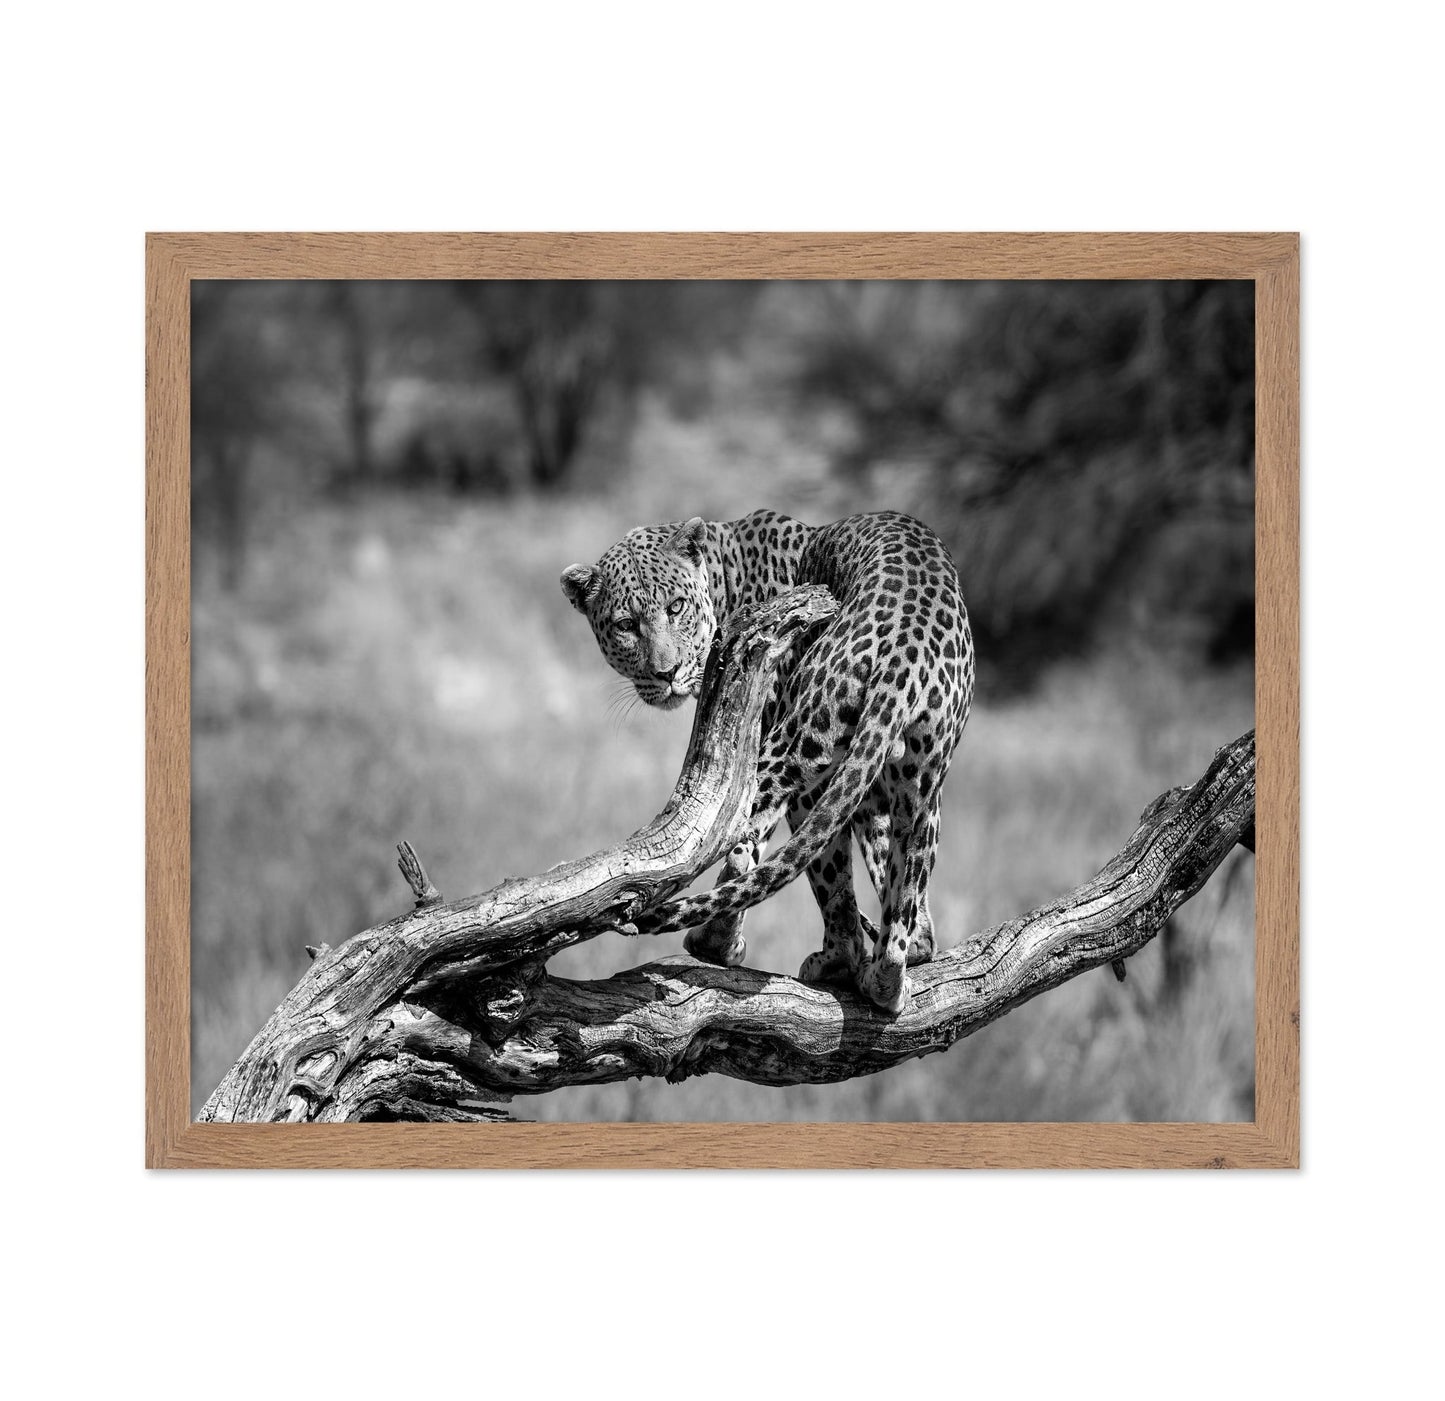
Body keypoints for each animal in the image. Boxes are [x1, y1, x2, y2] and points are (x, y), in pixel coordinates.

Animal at [561, 508, 974, 1014]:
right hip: (920, 784)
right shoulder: (872, 792)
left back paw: (805, 955)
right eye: (625, 624)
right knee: (904, 894)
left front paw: (724, 943)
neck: (723, 579)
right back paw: (886, 976)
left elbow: (754, 852)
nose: (667, 672)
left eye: (675, 608)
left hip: (798, 750)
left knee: (783, 855)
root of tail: (904, 653)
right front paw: (913, 947)